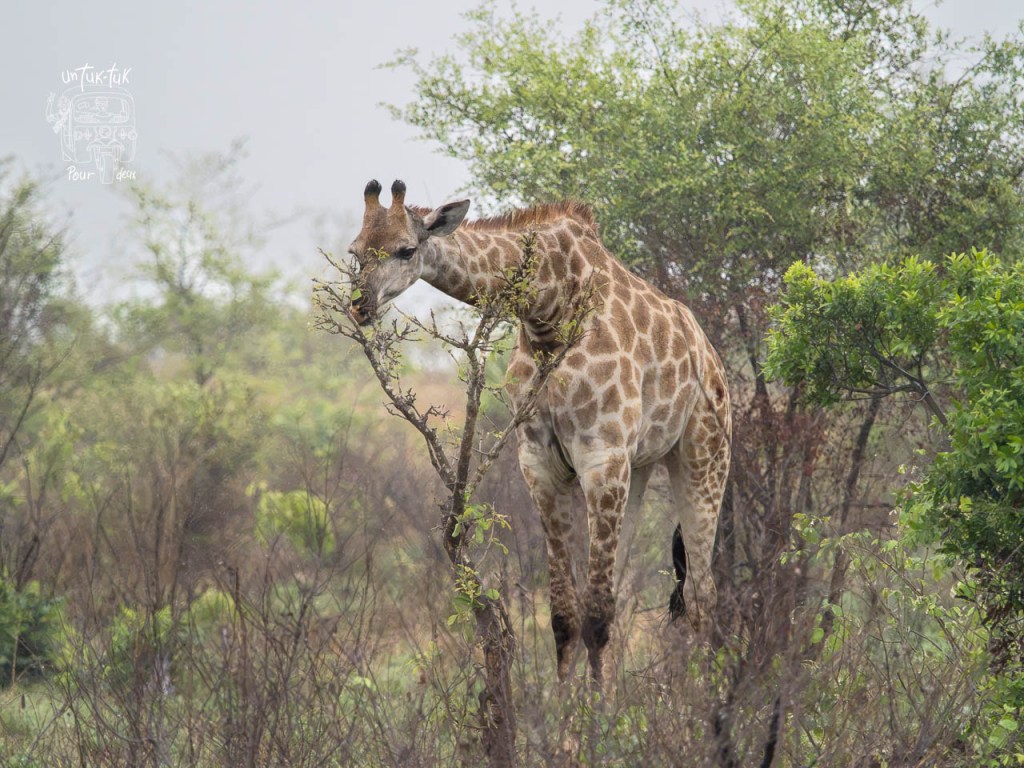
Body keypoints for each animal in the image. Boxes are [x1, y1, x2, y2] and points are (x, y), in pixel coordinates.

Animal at [347, 179, 731, 682]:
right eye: (355, 252)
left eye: (406, 249)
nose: (360, 307)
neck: (548, 307)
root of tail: (710, 353)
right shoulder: (541, 464)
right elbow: (565, 617)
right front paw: (570, 705)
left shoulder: (601, 458)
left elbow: (596, 617)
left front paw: (596, 707)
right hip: (641, 467)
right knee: (633, 588)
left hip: (704, 456)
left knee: (702, 596)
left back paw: (705, 701)